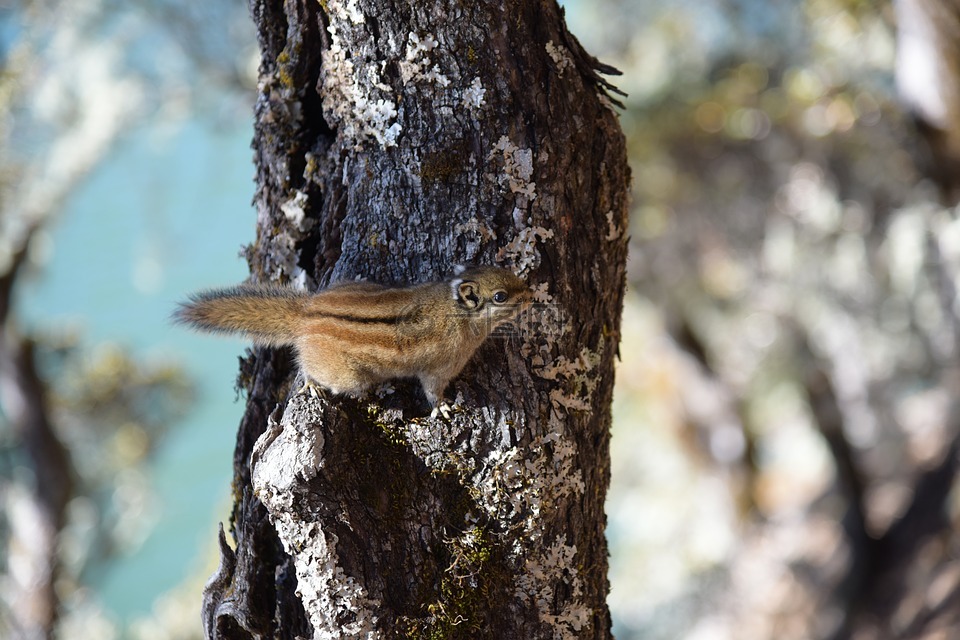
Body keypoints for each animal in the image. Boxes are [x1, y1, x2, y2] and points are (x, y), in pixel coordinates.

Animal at [173, 264, 532, 410]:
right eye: (500, 297)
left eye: (510, 273)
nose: (531, 295)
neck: (452, 308)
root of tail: (306, 315)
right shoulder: (437, 369)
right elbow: (432, 392)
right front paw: (442, 408)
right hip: (347, 377)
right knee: (309, 370)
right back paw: (315, 386)